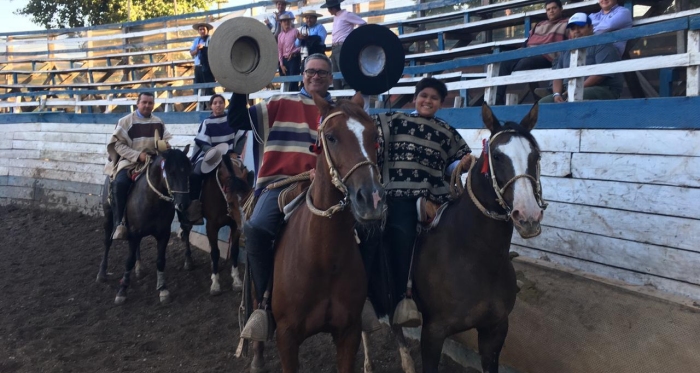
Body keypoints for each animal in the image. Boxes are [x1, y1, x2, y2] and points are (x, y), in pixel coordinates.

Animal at [97, 144, 191, 304]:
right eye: (170, 172)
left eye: (188, 170)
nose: (183, 204)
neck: (152, 200)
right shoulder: (134, 233)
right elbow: (128, 260)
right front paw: (122, 290)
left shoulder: (163, 234)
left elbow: (160, 261)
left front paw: (163, 289)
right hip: (109, 218)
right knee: (107, 242)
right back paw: (102, 273)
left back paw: (139, 268)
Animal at [179, 153, 253, 294]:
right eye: (231, 202)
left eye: (248, 197)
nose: (244, 227)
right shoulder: (211, 227)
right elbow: (215, 252)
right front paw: (215, 283)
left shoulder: (235, 226)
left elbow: (234, 251)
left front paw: (236, 280)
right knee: (186, 232)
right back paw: (188, 261)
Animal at [249, 92, 386, 372]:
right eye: (331, 137)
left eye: (374, 137)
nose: (372, 199)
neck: (324, 258)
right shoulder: (287, 338)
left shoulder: (349, 333)